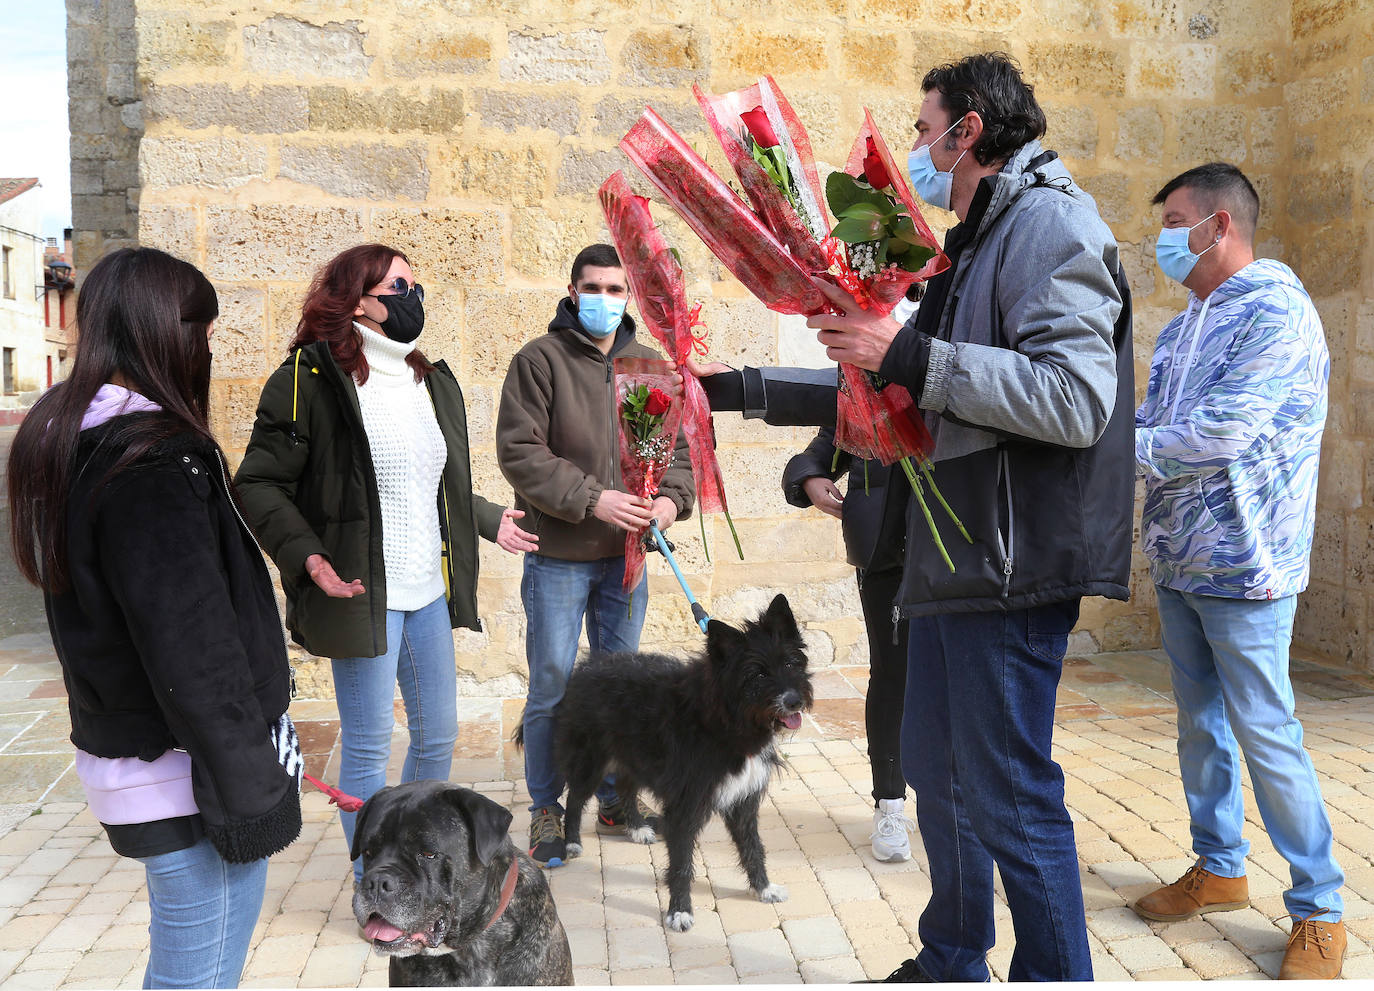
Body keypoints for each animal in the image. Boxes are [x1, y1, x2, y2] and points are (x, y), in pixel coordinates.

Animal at [549, 596, 802, 929]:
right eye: (758, 674)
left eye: (790, 663)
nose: (795, 701)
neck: (725, 719)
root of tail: (588, 664)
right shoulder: (686, 803)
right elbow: (681, 863)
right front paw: (680, 911)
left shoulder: (743, 799)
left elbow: (752, 845)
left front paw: (764, 888)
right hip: (591, 759)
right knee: (576, 798)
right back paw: (571, 842)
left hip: (633, 757)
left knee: (625, 788)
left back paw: (637, 827)